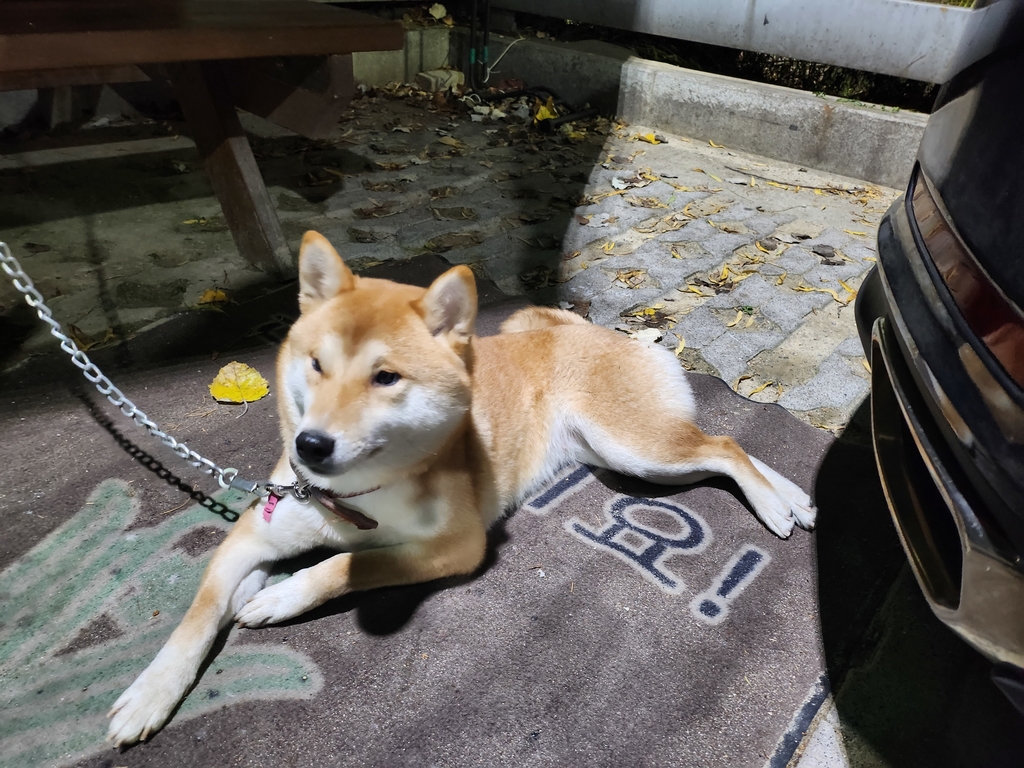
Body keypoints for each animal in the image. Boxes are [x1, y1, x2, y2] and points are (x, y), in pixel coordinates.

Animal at [106, 230, 816, 746]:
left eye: (386, 377)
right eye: (316, 365)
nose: (310, 445)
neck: (359, 499)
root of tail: (584, 328)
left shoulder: (457, 546)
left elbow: (346, 567)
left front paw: (283, 597)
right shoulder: (257, 535)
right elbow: (199, 616)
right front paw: (150, 693)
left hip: (635, 450)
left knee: (723, 447)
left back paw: (775, 506)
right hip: (626, 458)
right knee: (725, 446)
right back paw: (794, 497)